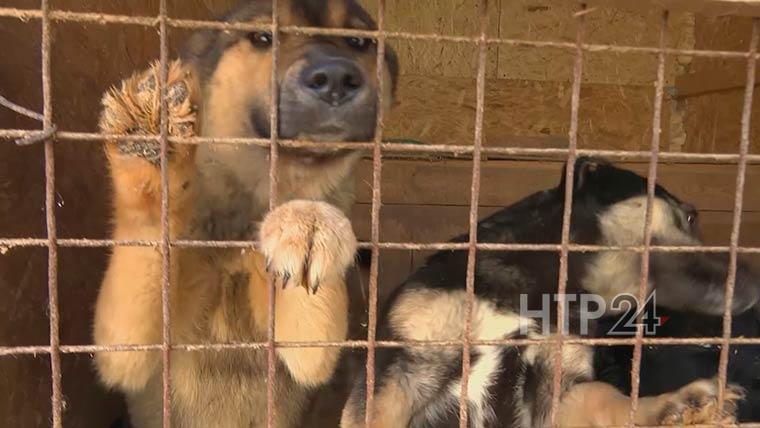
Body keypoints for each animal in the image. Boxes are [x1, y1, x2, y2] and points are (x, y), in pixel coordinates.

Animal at [94, 1, 398, 426]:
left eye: (358, 42)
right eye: (262, 37)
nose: (336, 78)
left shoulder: (310, 347)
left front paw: (306, 219)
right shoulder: (124, 346)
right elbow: (147, 233)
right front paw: (150, 131)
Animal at [342, 158, 756, 428]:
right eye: (690, 217)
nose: (754, 281)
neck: (537, 289)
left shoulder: (557, 389)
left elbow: (605, 396)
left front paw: (674, 404)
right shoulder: (400, 372)